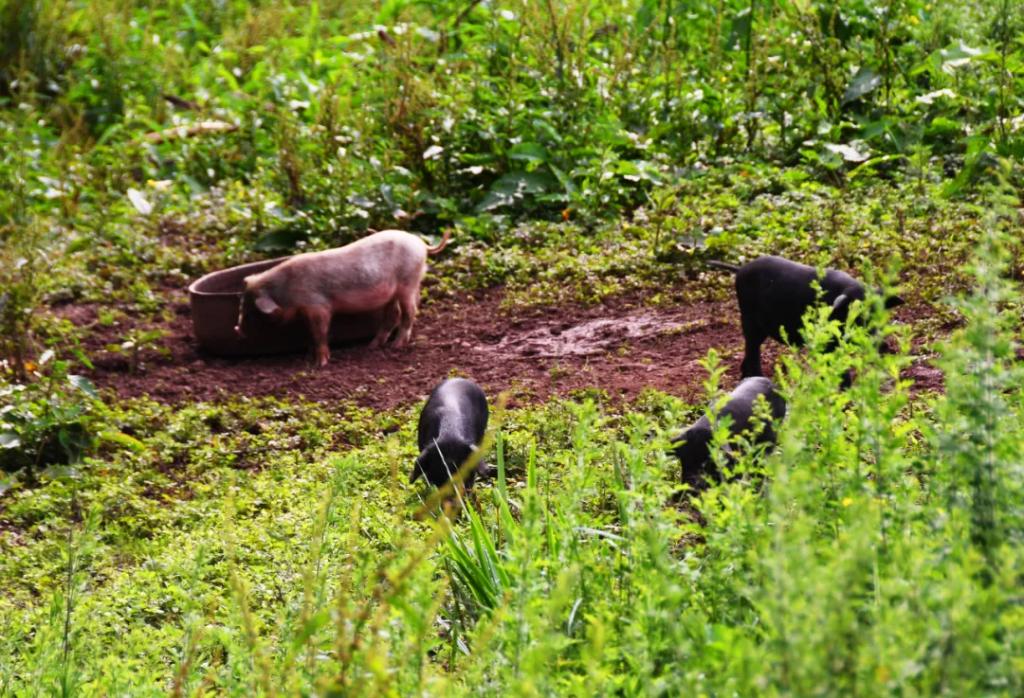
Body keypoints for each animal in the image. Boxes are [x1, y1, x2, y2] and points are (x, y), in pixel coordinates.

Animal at [235, 229, 450, 366]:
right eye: (241, 306)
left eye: (252, 313)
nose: (238, 330)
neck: (286, 291)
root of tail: (420, 243)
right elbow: (311, 332)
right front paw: (309, 357)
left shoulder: (318, 306)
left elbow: (320, 331)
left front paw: (320, 364)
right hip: (393, 292)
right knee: (393, 315)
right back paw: (372, 347)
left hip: (408, 282)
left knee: (410, 312)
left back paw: (397, 346)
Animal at [707, 256, 903, 378]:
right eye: (857, 317)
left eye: (877, 312)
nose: (884, 346)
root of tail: (740, 269)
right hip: (748, 319)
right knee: (752, 348)